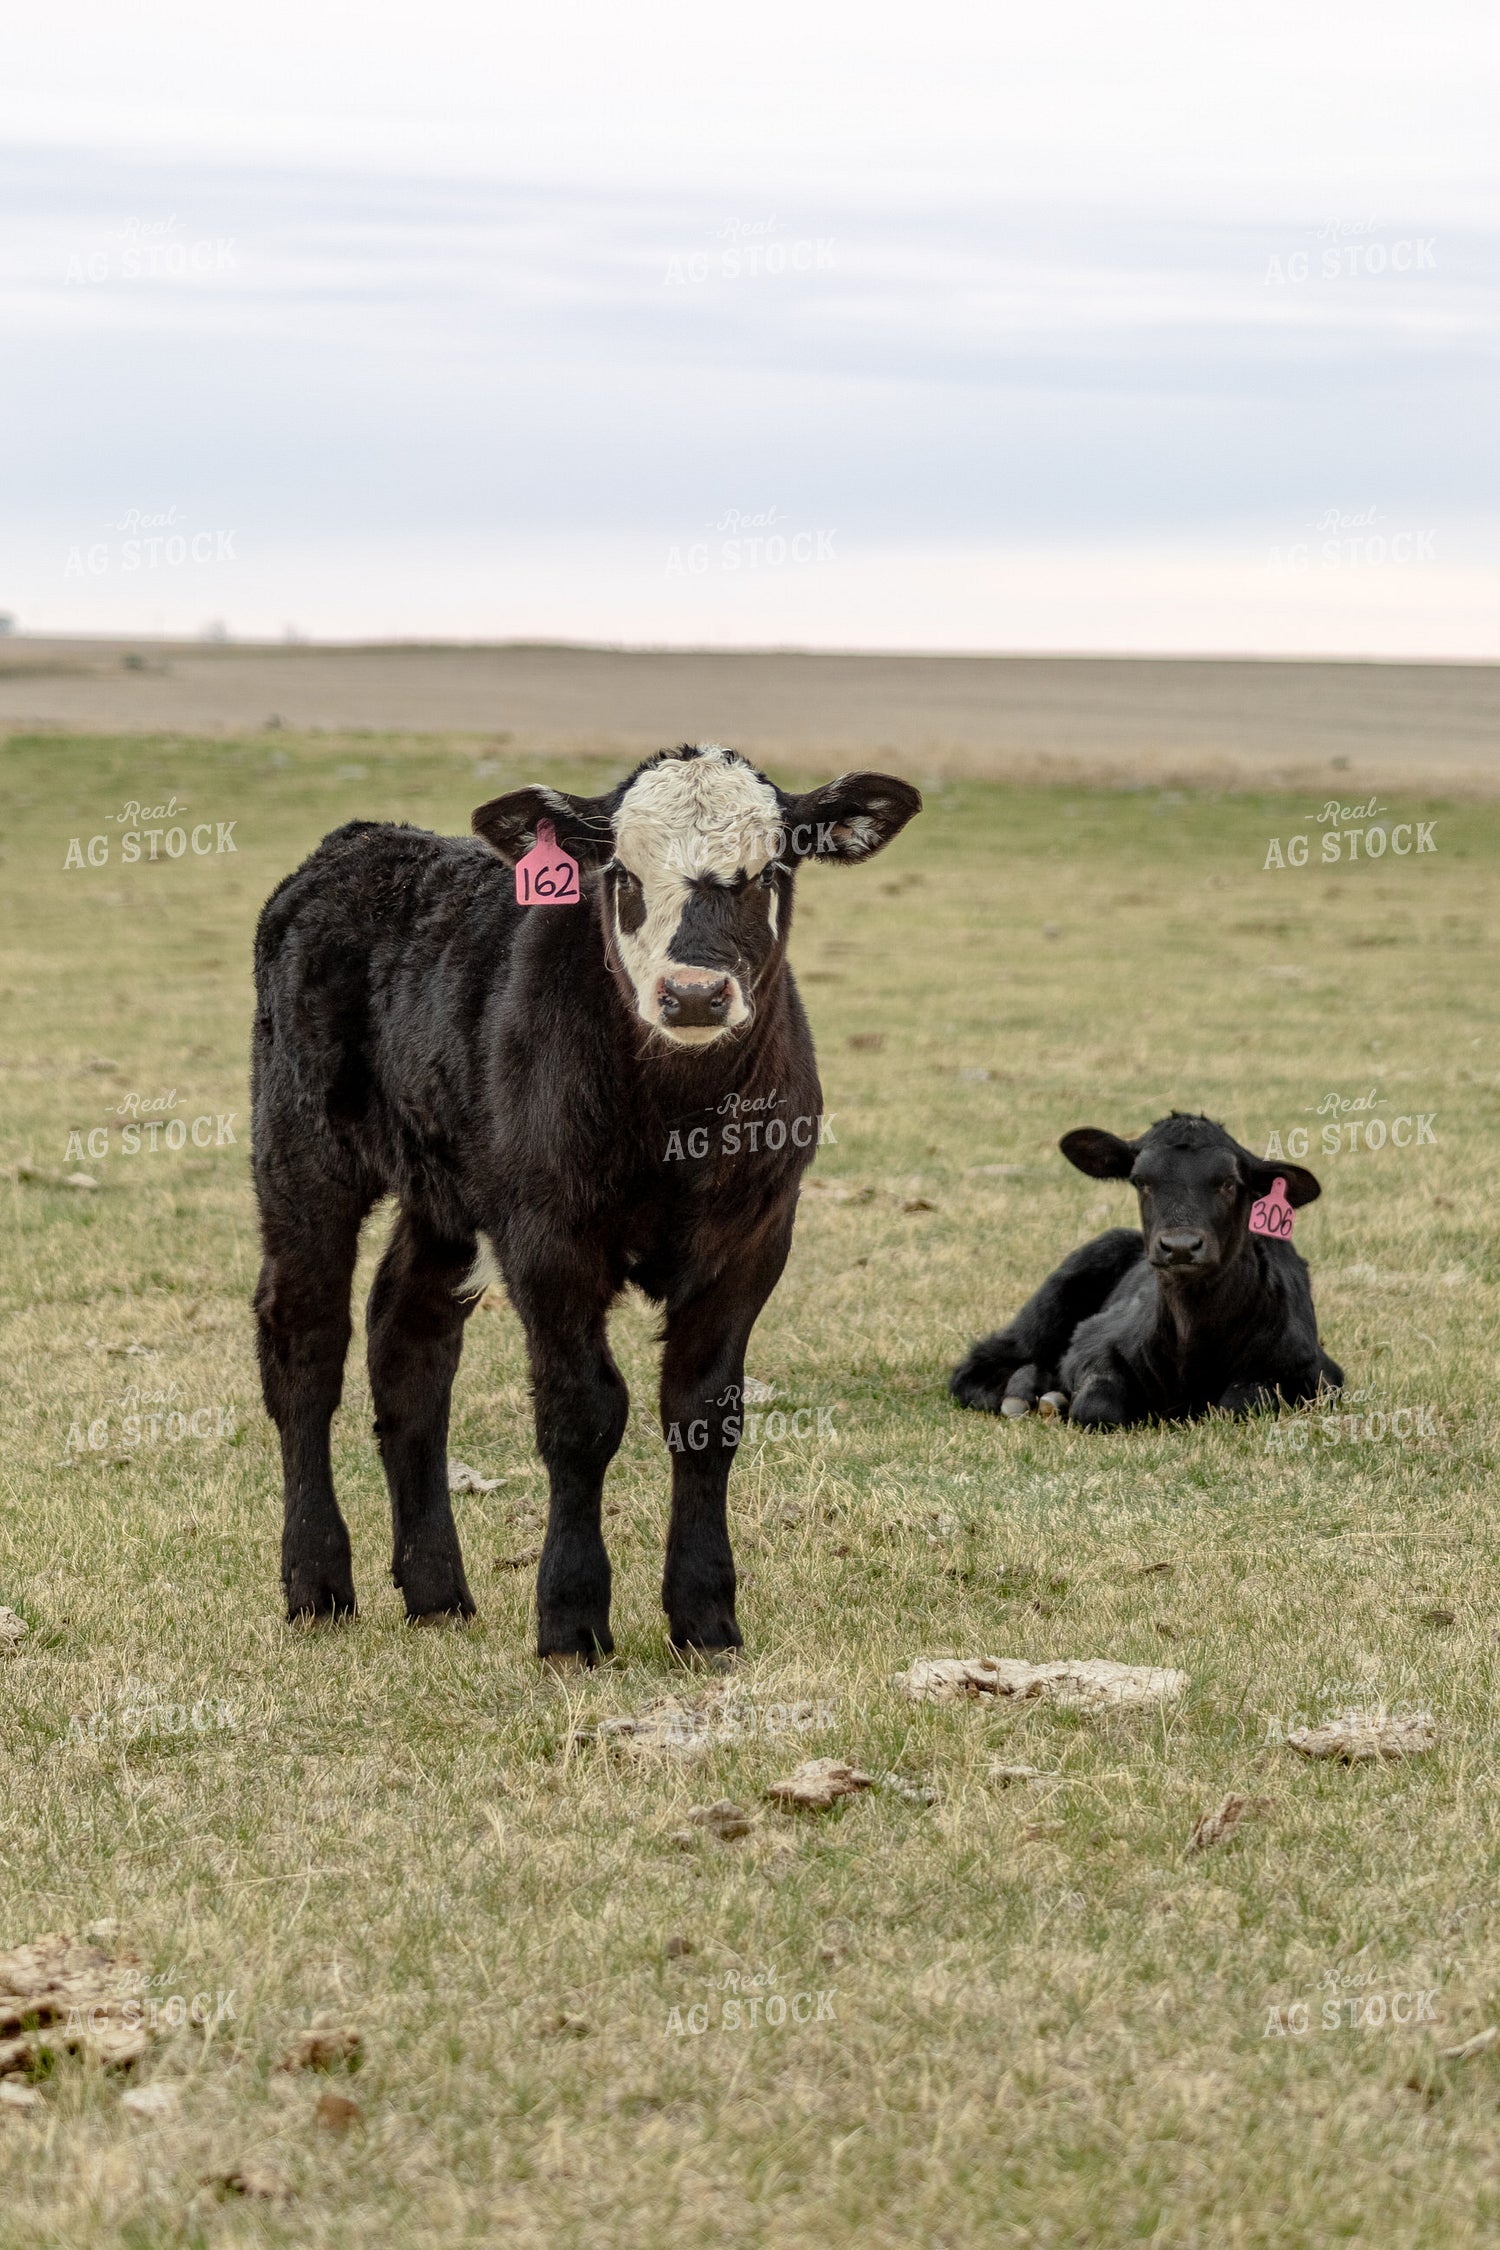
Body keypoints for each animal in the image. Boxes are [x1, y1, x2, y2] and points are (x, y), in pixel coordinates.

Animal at [251, 743, 921, 1663]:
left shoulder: (754, 1239)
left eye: (767, 870)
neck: (676, 1119)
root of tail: (360, 842)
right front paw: (571, 1619)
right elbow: (583, 1414)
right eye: (624, 875)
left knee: (409, 1344)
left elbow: (704, 1415)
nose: (694, 994)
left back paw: (436, 1590)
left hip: (442, 1190)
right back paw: (316, 1582)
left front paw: (705, 1617)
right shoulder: (549, 1237)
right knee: (306, 1345)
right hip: (303, 1156)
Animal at [950, 1112, 1342, 1429]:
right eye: (1140, 1180)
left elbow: (1239, 1403)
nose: (1180, 1245)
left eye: (1229, 1182)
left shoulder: (1318, 1375)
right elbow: (1096, 1406)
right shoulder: (1089, 1344)